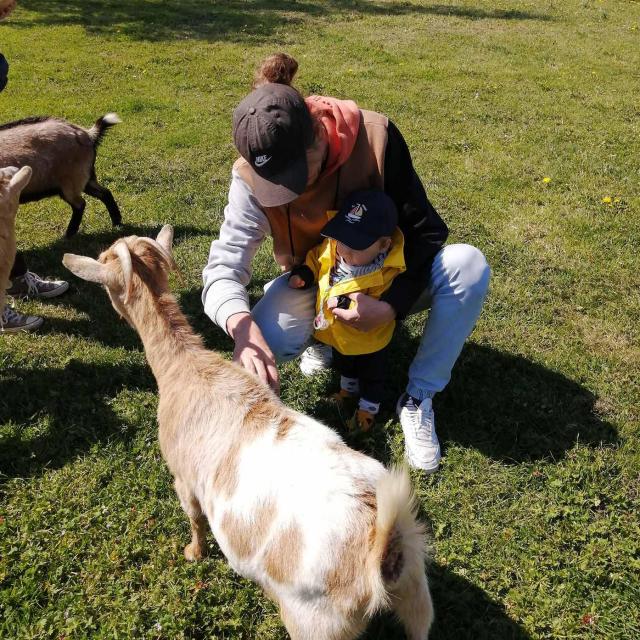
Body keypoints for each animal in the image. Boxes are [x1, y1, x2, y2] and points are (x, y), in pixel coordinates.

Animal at [62, 226, 436, 640]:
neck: (185, 367)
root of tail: (381, 545)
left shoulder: (183, 478)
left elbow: (195, 518)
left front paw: (194, 553)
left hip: (317, 624)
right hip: (417, 594)